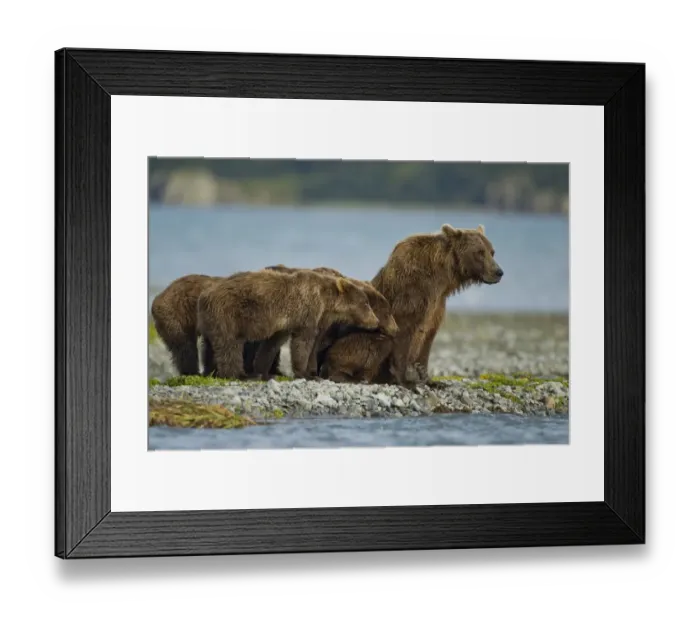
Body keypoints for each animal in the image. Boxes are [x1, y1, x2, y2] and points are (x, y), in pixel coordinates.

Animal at [196, 269, 381, 380]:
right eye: (366, 303)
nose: (376, 322)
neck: (325, 301)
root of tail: (204, 295)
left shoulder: (284, 324)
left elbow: (272, 344)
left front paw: (264, 371)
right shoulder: (306, 311)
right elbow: (303, 342)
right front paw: (303, 372)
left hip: (211, 319)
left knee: (210, 345)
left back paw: (211, 370)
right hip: (228, 313)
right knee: (230, 344)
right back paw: (238, 374)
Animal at [321, 224, 503, 386]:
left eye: (492, 252)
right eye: (479, 252)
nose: (499, 272)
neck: (441, 279)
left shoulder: (437, 306)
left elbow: (427, 339)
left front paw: (430, 380)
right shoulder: (411, 295)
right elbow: (403, 333)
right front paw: (406, 380)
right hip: (348, 342)